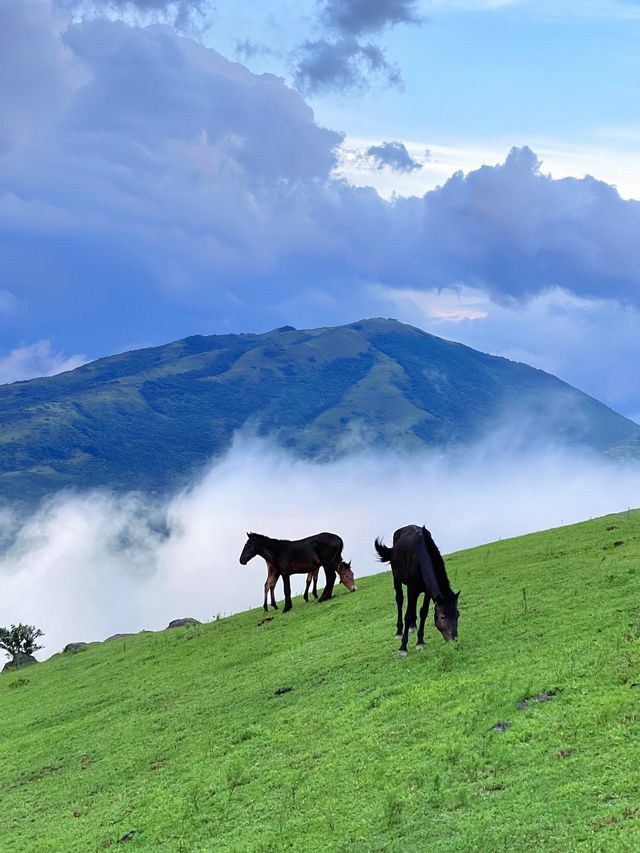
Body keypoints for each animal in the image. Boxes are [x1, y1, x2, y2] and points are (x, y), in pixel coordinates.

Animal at [376, 524, 460, 656]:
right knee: (399, 599)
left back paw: (413, 626)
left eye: (458, 614)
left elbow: (423, 612)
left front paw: (420, 642)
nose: (454, 641)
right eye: (442, 617)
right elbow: (407, 615)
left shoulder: (427, 592)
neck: (422, 558)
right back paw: (399, 631)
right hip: (396, 578)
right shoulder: (412, 588)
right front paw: (403, 648)